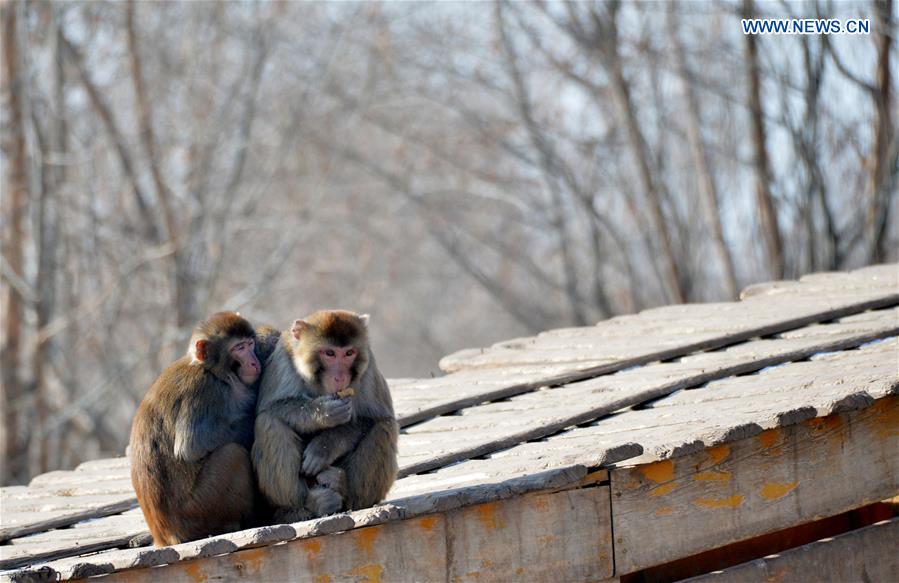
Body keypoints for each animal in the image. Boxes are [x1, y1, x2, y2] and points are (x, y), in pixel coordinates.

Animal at [132, 312, 400, 544]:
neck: (216, 374)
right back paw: (301, 507)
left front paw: (327, 444)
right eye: (330, 353)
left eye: (349, 353)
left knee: (384, 427)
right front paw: (323, 415)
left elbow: (377, 416)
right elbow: (193, 445)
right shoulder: (203, 389)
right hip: (198, 511)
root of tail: (165, 534)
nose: (340, 376)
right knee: (243, 445)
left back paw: (342, 488)